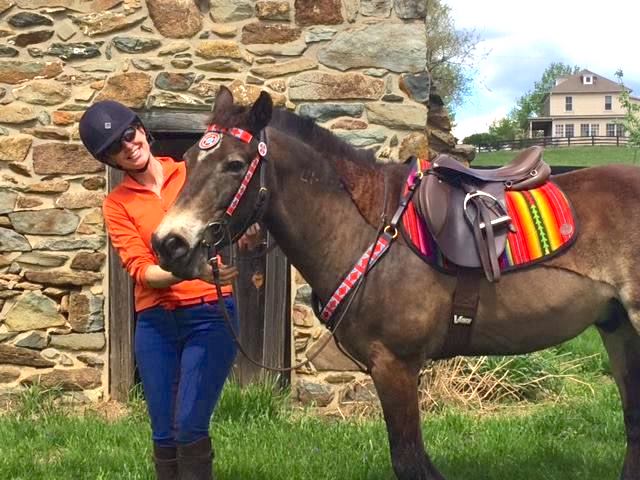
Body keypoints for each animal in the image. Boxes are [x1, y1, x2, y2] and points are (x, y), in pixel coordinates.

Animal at [152, 87, 640, 480]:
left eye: (235, 164)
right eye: (188, 159)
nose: (168, 243)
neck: (367, 233)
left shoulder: (396, 365)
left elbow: (409, 461)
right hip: (618, 328)